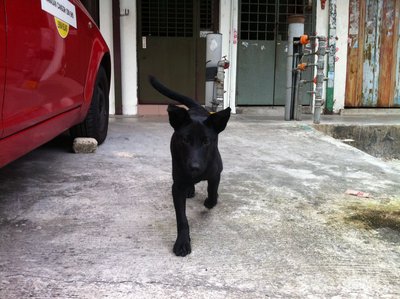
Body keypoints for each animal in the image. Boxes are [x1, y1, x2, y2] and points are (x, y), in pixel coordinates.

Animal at [150, 77, 231, 258]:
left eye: (206, 141)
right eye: (185, 140)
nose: (194, 167)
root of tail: (196, 107)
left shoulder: (216, 172)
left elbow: (212, 191)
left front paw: (211, 201)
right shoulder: (177, 186)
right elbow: (182, 219)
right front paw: (182, 242)